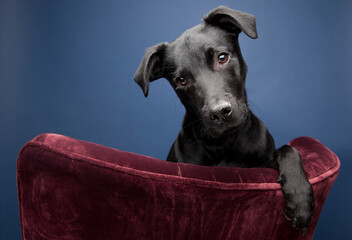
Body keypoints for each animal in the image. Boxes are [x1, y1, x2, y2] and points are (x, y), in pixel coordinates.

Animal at [134, 6, 314, 233]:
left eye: (222, 57)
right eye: (181, 80)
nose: (219, 112)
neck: (225, 143)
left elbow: (289, 149)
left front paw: (300, 199)